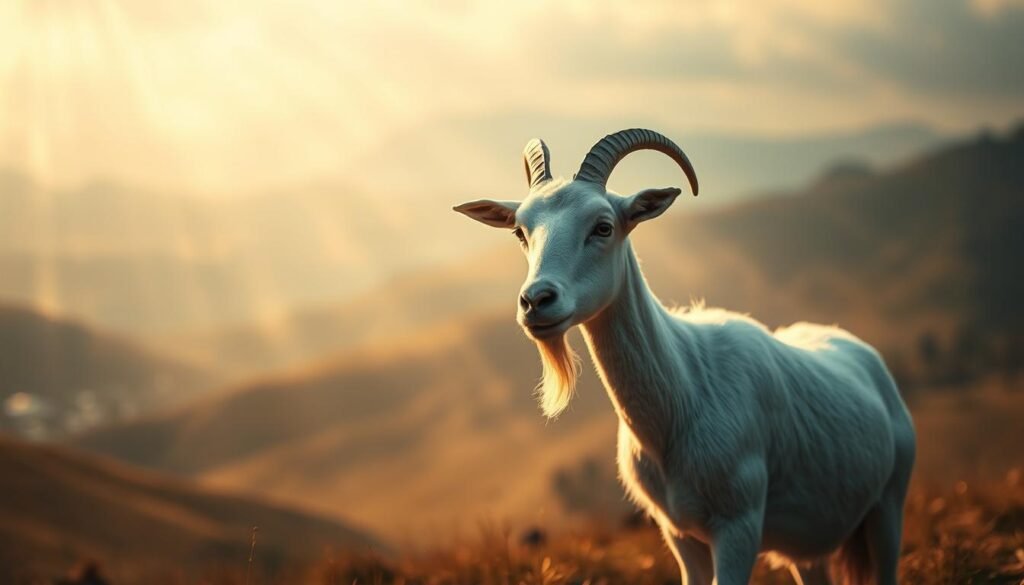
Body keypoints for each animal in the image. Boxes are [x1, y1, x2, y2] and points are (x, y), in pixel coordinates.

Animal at [454, 129, 916, 585]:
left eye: (603, 227)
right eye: (520, 232)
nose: (536, 301)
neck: (683, 396)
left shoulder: (738, 525)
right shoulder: (680, 535)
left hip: (888, 506)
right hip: (805, 546)